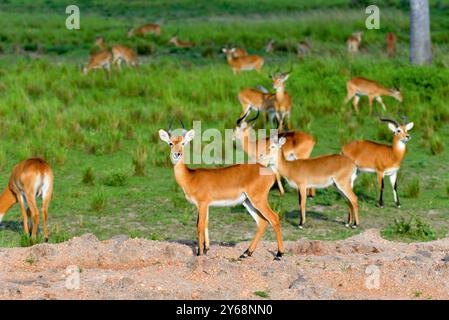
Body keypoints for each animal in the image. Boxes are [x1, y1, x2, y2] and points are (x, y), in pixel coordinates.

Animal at [158, 122, 284, 260]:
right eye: (170, 143)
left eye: (183, 143)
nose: (177, 154)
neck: (191, 177)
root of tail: (270, 172)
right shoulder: (205, 205)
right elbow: (205, 223)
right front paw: (206, 250)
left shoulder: (202, 203)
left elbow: (199, 225)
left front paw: (199, 253)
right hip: (247, 202)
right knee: (262, 222)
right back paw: (246, 253)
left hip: (258, 200)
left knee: (274, 218)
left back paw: (279, 254)